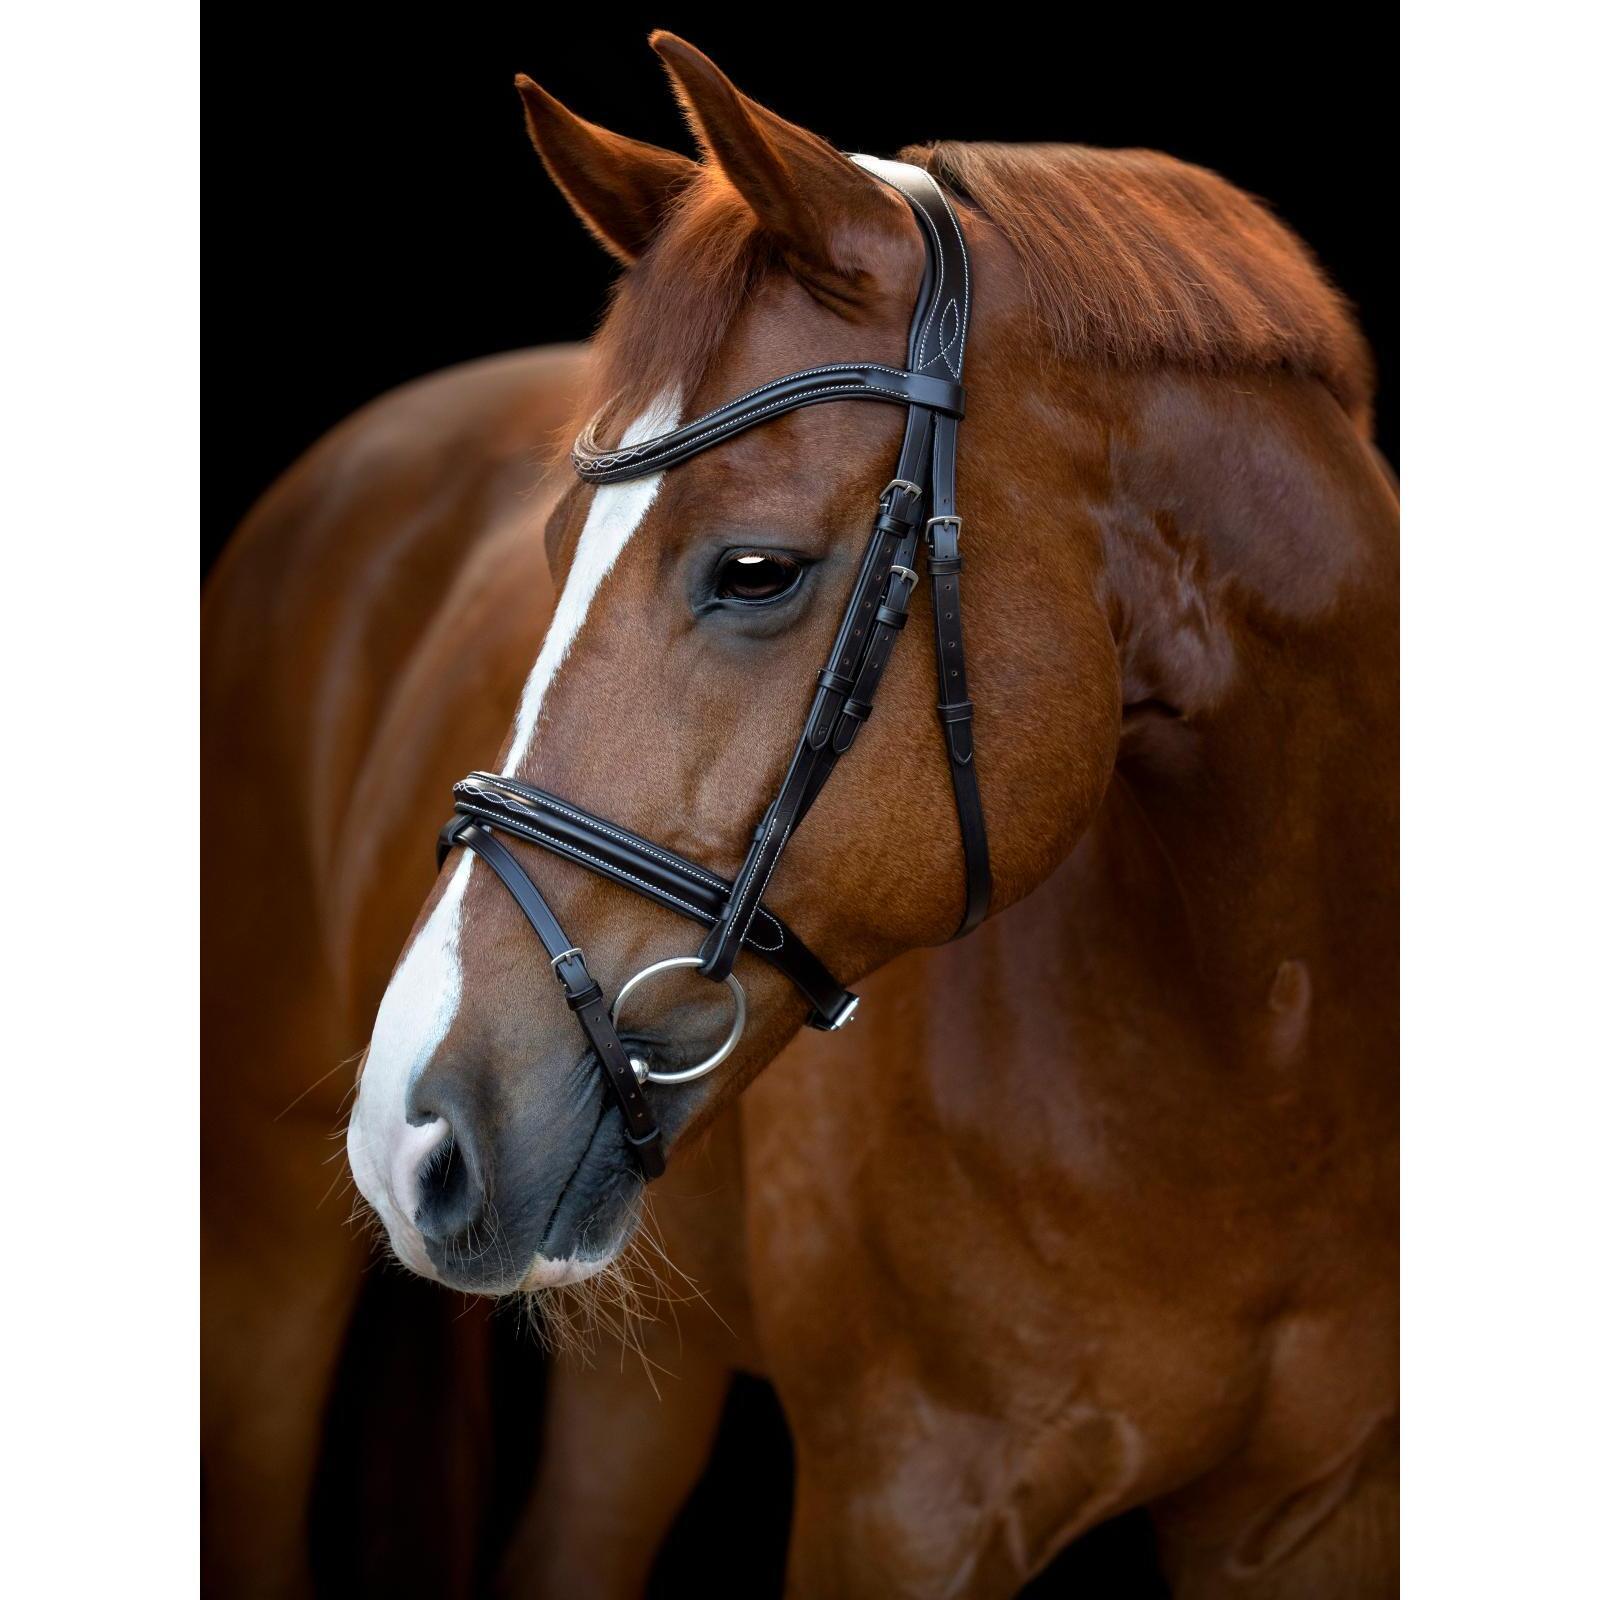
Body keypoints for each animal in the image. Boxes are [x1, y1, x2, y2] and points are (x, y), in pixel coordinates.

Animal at [202, 31, 1397, 1598]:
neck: (1265, 1060)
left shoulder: (1320, 1514)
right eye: (550, 549)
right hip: (259, 1249)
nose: (417, 1137)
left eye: (755, 569)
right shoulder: (899, 1505)